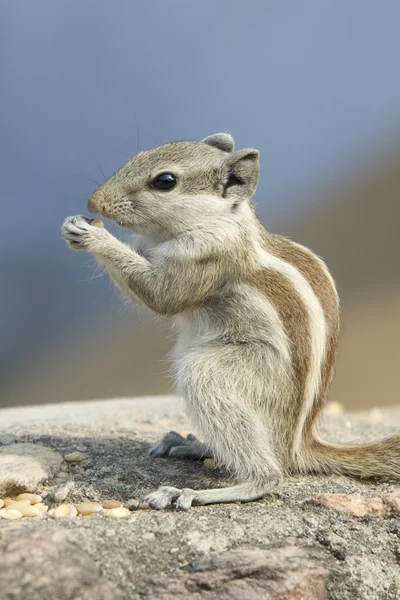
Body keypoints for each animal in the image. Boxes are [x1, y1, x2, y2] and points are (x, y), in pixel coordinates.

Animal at [61, 132, 398, 510]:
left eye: (165, 181)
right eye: (138, 155)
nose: (94, 203)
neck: (219, 221)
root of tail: (298, 445)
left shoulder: (206, 256)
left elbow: (161, 295)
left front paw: (95, 237)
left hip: (220, 374)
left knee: (269, 474)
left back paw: (195, 492)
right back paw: (191, 444)